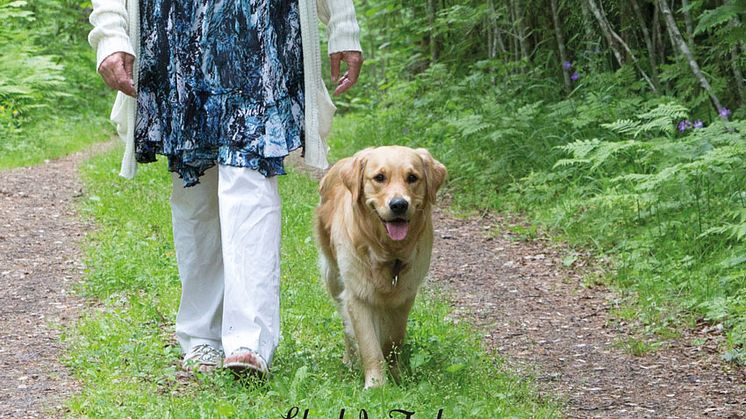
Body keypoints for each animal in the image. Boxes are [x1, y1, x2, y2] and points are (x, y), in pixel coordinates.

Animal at [312, 146, 444, 388]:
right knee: (345, 322)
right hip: (333, 277)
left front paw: (396, 376)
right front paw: (376, 385)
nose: (399, 205)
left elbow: (393, 338)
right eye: (379, 177)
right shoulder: (357, 294)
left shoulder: (405, 296)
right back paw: (350, 360)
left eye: (412, 177)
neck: (389, 253)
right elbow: (369, 344)